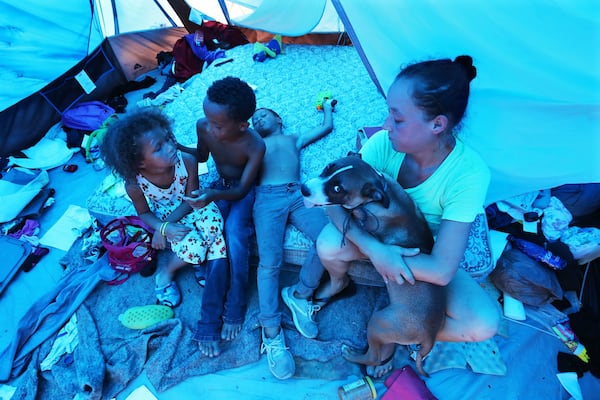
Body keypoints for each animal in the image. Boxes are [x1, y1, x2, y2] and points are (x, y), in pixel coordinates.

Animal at [300, 152, 446, 376]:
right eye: (328, 167)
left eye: (338, 189)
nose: (304, 188)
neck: (382, 192)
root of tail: (430, 335)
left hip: (378, 323)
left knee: (373, 357)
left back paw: (350, 354)